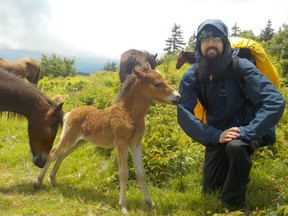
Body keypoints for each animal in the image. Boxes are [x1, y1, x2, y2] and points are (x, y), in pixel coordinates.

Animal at [35, 66, 180, 213]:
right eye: (157, 84)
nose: (178, 97)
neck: (129, 113)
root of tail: (69, 113)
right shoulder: (121, 143)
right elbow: (123, 173)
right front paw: (123, 206)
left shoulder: (136, 144)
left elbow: (141, 172)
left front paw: (150, 203)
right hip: (69, 138)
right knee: (53, 153)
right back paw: (39, 181)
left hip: (79, 142)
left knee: (62, 155)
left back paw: (52, 179)